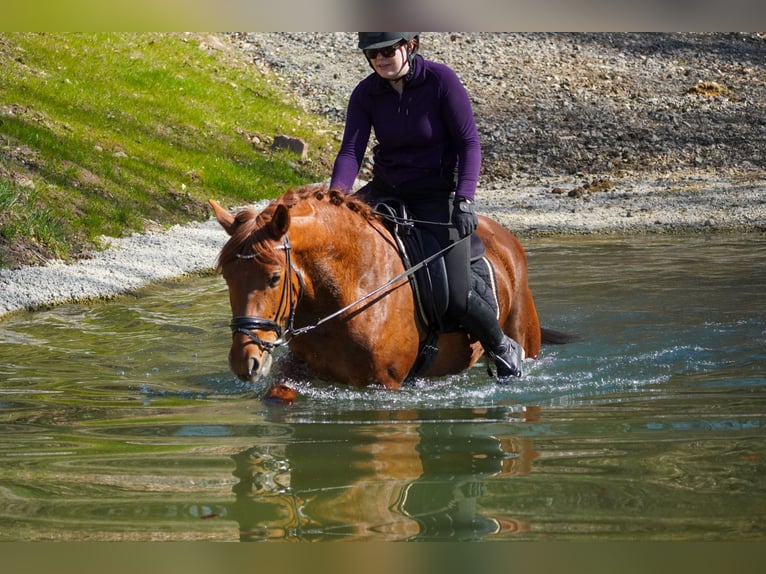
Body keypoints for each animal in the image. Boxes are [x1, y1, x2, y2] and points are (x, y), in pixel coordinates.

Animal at [210, 183, 568, 395]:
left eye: (274, 278)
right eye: (227, 277)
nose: (245, 362)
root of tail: (506, 239)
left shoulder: (384, 386)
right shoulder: (299, 371)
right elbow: (277, 395)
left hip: (525, 335)